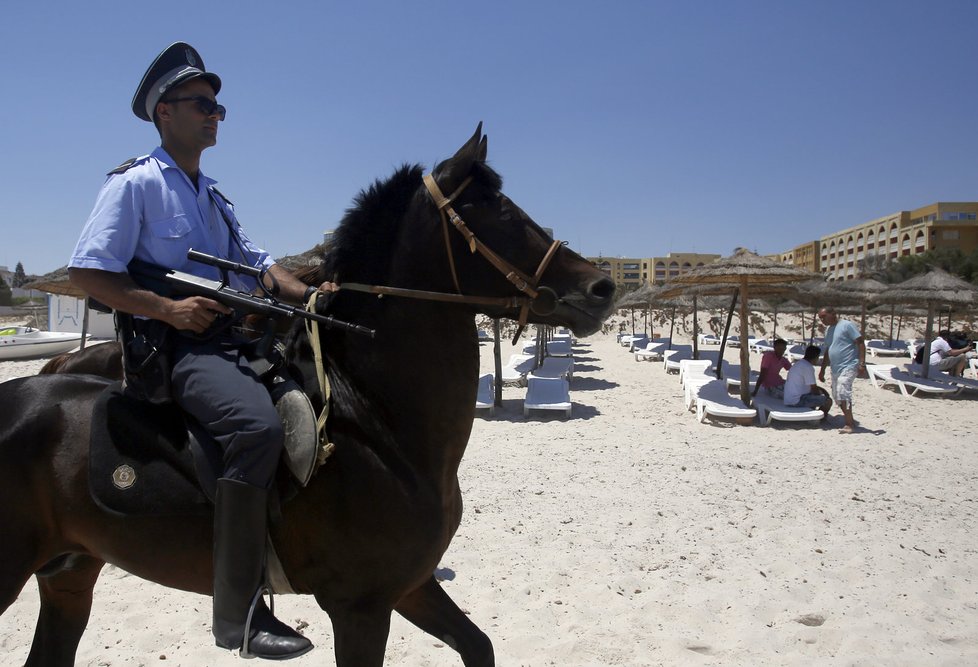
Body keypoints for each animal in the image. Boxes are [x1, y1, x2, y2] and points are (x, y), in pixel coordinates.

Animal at [0, 126, 608, 667]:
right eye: (497, 210)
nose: (602, 287)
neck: (376, 422)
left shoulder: (411, 586)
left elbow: (479, 647)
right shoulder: (361, 607)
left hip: (70, 573)